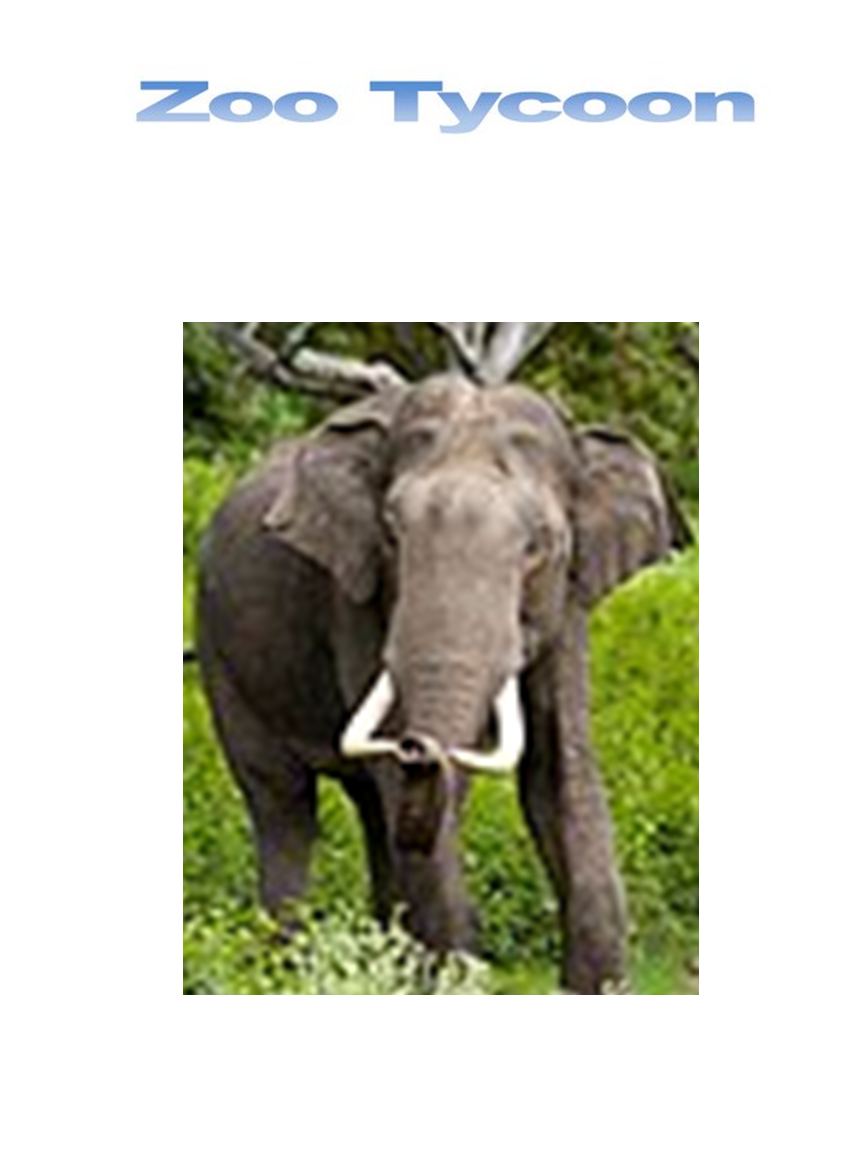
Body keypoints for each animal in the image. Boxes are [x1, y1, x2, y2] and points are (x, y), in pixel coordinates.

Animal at [193, 374, 690, 993]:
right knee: (284, 804)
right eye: (390, 535)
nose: (417, 745)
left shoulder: (569, 602)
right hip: (221, 656)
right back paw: (282, 970)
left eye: (540, 546)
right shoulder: (354, 595)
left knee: (372, 810)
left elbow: (561, 774)